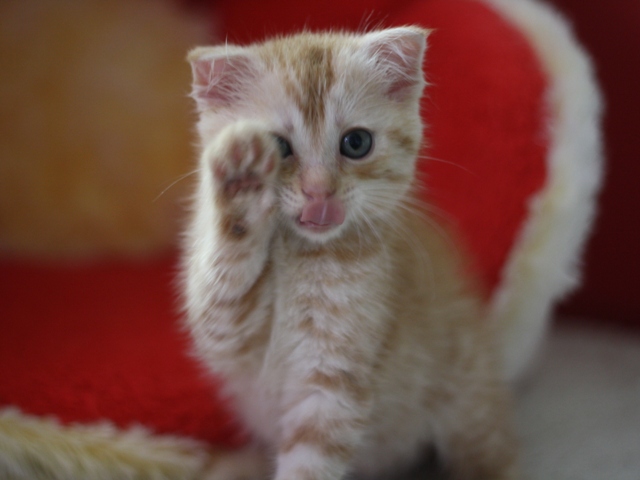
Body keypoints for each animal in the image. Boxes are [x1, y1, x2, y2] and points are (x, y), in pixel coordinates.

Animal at [182, 27, 516, 480]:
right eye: (279, 147)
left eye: (356, 143)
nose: (319, 192)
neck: (306, 257)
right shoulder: (229, 331)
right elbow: (224, 287)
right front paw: (241, 180)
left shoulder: (332, 382)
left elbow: (310, 462)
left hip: (467, 394)